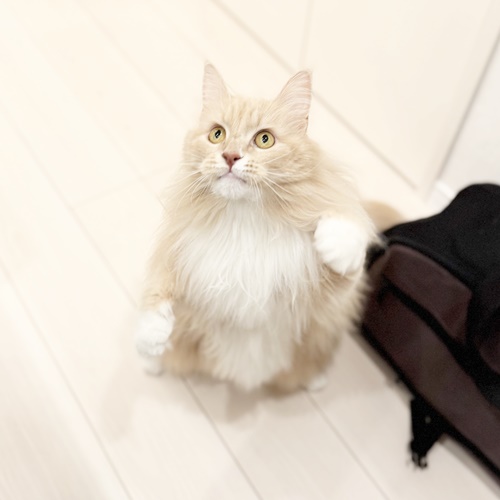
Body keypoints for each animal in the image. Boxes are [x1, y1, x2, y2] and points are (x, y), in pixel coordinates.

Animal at [135, 64, 376, 392]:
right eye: (217, 134)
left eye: (264, 140)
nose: (230, 156)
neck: (244, 222)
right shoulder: (181, 255)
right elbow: (158, 290)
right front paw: (151, 336)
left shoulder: (326, 293)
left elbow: (349, 257)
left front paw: (334, 241)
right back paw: (153, 362)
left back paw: (315, 380)